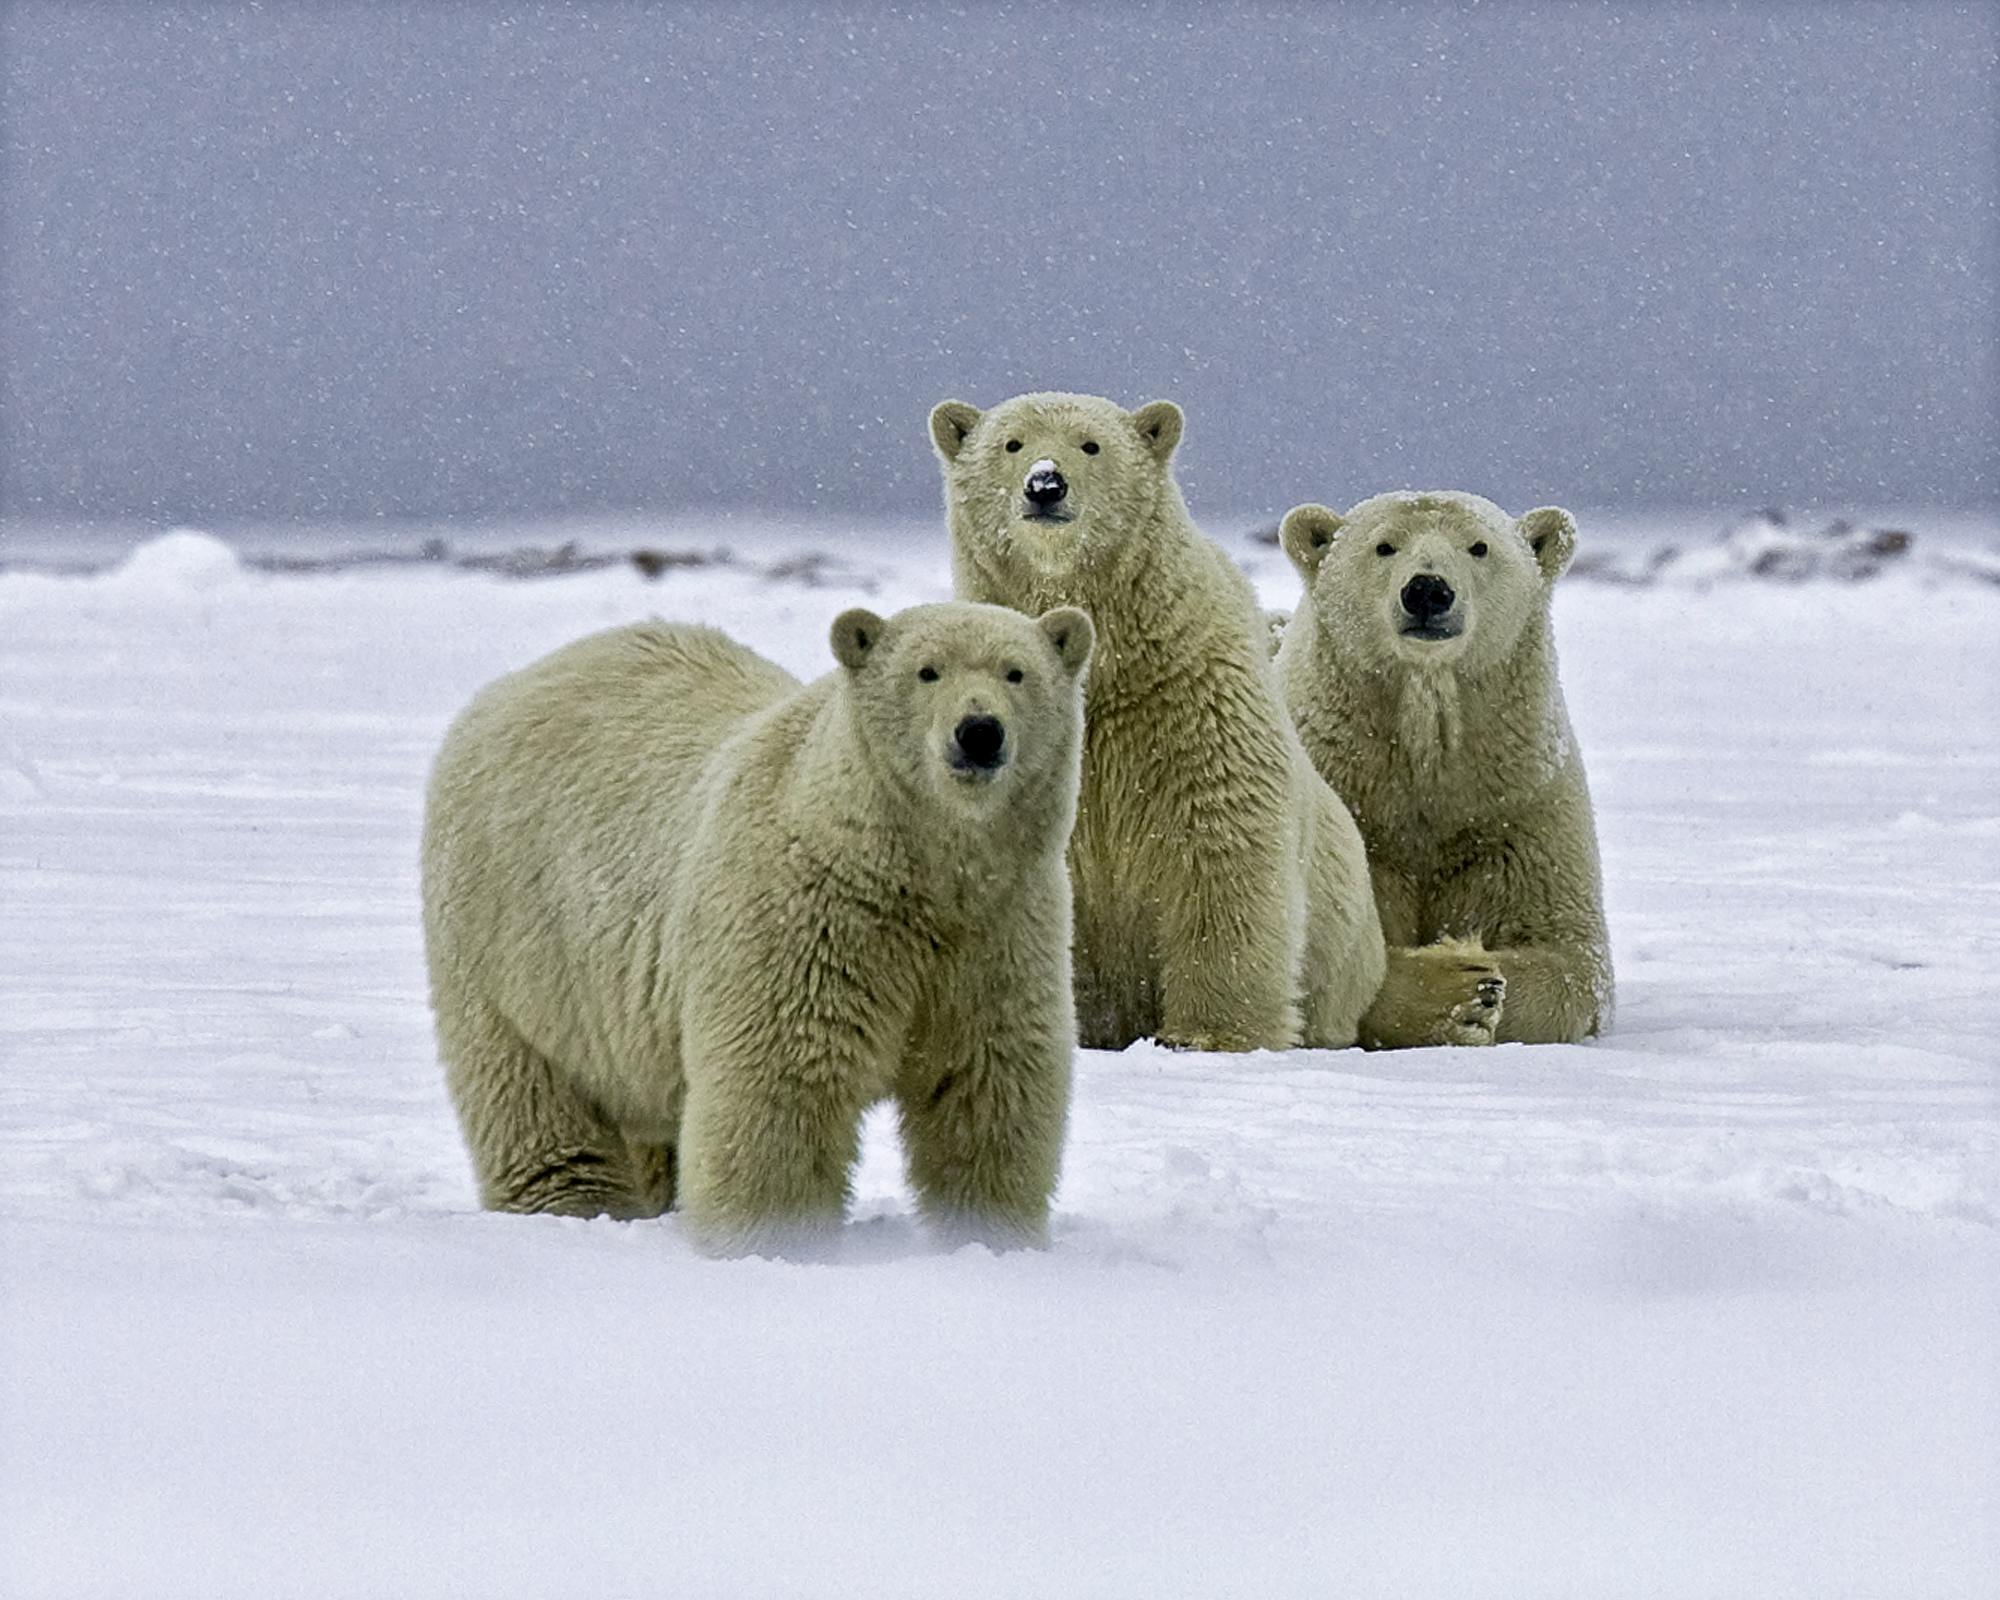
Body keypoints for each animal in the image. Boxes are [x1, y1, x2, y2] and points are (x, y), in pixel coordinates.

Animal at [420, 600, 1096, 1248]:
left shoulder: (998, 927)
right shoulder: (808, 923)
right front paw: (775, 1243)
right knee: (529, 1090)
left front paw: (990, 1237)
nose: (979, 732)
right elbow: (781, 1088)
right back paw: (575, 1202)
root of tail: (515, 683)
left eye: (1015, 672)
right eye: (927, 671)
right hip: (511, 938)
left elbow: (986, 1087)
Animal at [928, 394, 1384, 1056]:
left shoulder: (1195, 705)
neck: (1111, 668)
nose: (1046, 484)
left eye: (1090, 444)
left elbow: (1223, 849)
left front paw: (1210, 1034)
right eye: (1011, 443)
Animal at [1272, 490, 1616, 1048]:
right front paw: (1458, 991)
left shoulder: (1518, 814)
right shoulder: (1357, 823)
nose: (1428, 591)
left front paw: (1484, 979)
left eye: (1479, 546)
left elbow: (1570, 959)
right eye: (1384, 546)